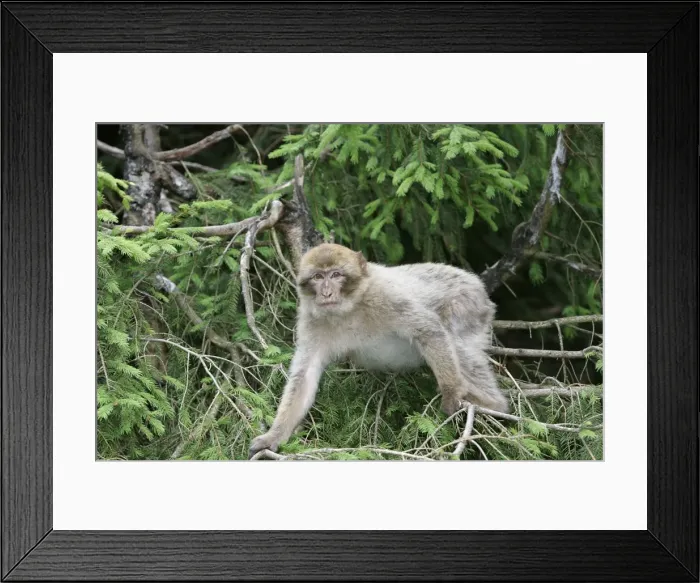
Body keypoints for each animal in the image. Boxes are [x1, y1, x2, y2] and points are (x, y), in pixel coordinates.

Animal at [248, 243, 509, 458]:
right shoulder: (312, 320)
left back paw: (492, 404)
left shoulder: (385, 296)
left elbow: (429, 329)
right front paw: (274, 435)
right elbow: (304, 377)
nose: (326, 292)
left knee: (456, 340)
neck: (349, 309)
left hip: (468, 303)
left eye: (336, 274)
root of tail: (474, 281)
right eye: (318, 276)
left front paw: (452, 392)